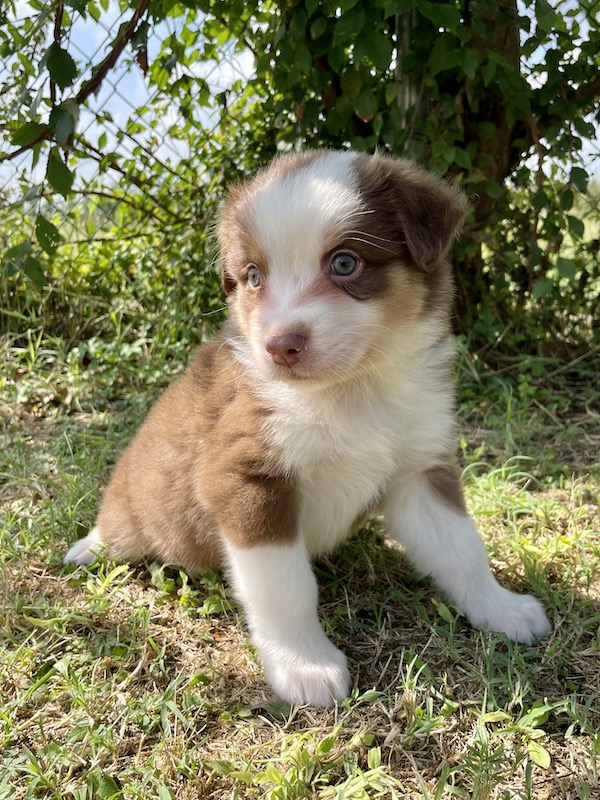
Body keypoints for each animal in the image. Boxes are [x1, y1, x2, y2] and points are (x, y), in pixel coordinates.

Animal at [63, 150, 552, 708]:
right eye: (253, 275)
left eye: (345, 263)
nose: (280, 345)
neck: (351, 392)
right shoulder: (247, 479)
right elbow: (286, 589)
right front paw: (305, 665)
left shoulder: (419, 467)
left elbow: (462, 549)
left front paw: (501, 608)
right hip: (137, 501)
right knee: (121, 525)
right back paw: (89, 547)